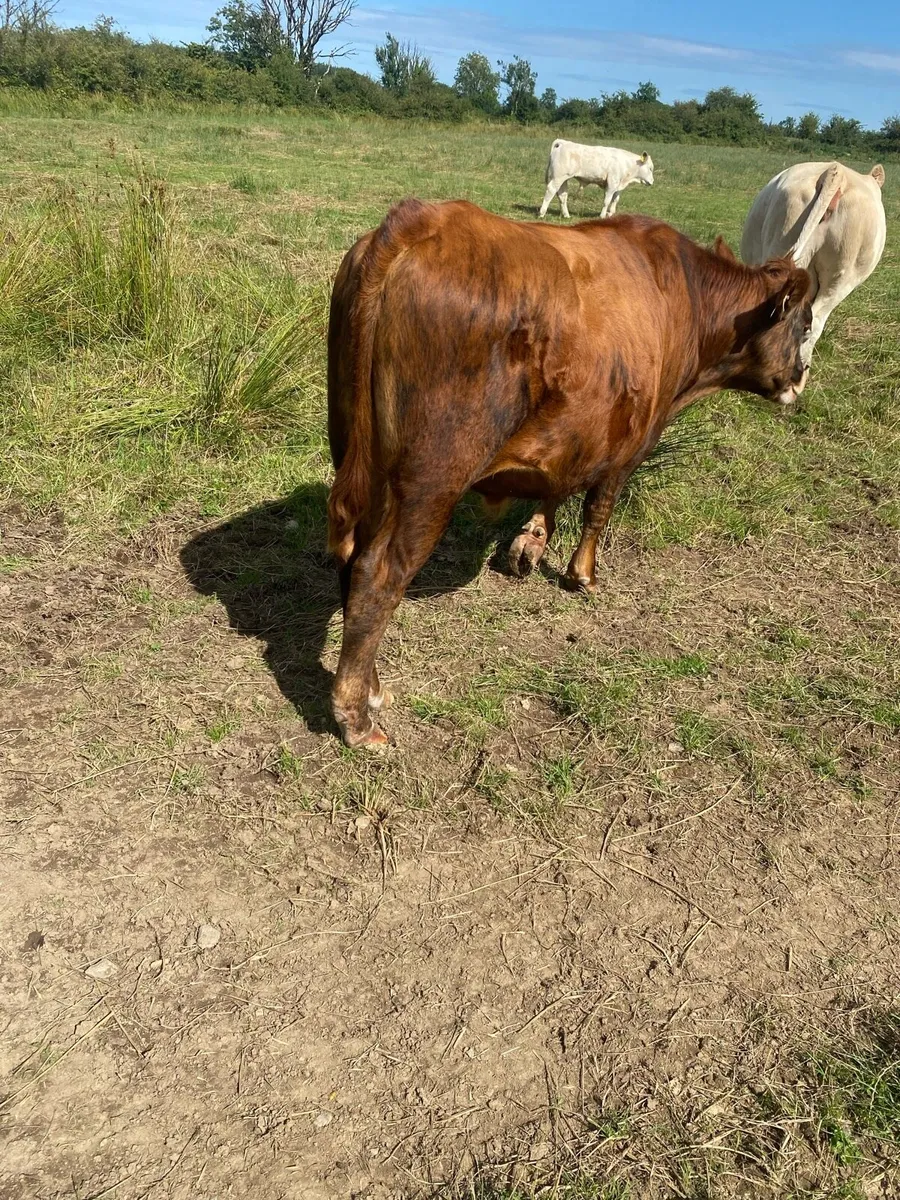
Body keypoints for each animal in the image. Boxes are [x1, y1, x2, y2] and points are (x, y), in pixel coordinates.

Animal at [326, 199, 812, 747]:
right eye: (806, 323)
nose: (802, 376)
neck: (687, 296)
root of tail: (419, 220)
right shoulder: (628, 445)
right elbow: (598, 510)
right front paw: (583, 575)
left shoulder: (578, 436)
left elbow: (555, 490)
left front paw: (530, 542)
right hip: (430, 479)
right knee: (378, 574)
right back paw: (357, 717)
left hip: (363, 459)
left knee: (351, 558)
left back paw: (371, 688)